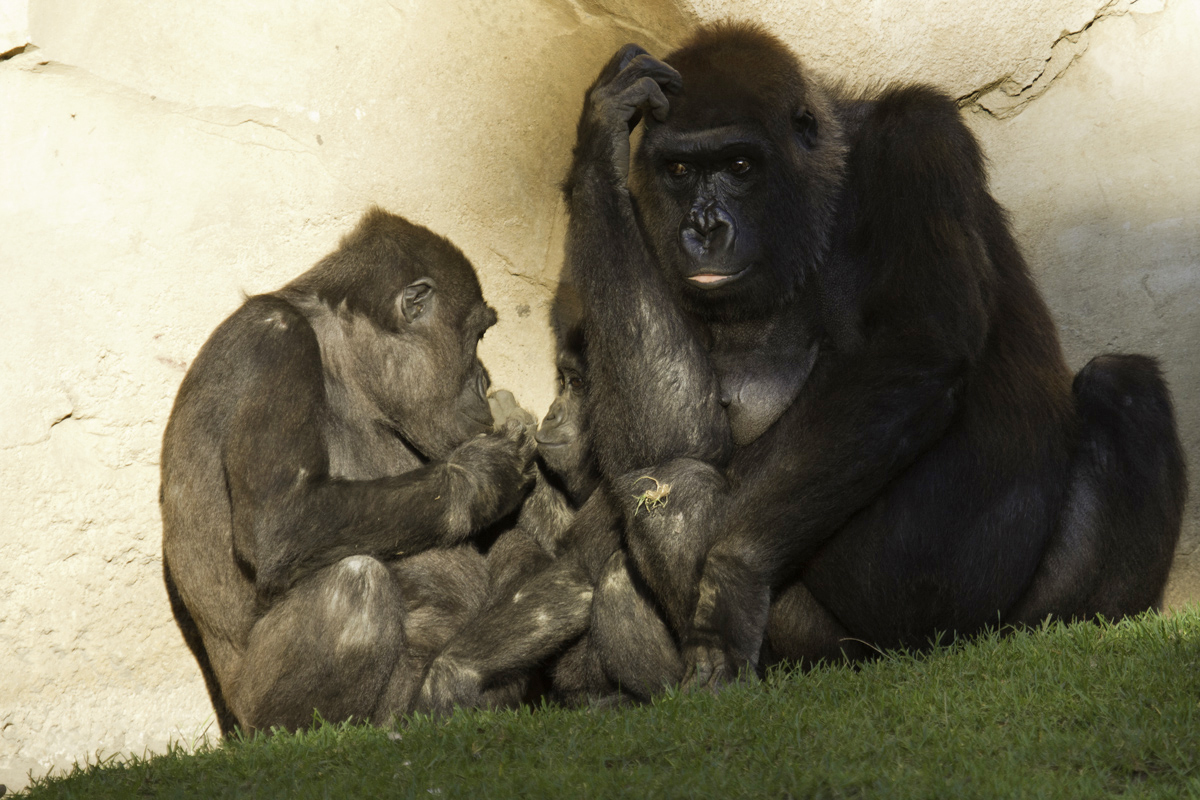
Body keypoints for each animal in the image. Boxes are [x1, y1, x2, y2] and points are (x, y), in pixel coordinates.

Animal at [162, 208, 537, 738]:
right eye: (478, 337)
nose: (484, 379)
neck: (340, 352)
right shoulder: (274, 339)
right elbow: (284, 520)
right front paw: (482, 478)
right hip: (255, 719)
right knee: (356, 586)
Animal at [566, 26, 1185, 690]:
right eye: (680, 169)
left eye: (739, 165)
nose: (704, 228)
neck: (824, 190)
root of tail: (922, 655)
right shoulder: (648, 225)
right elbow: (672, 434)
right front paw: (600, 133)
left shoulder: (920, 140)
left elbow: (917, 348)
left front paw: (732, 579)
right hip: (844, 653)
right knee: (666, 482)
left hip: (990, 621)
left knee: (1121, 384)